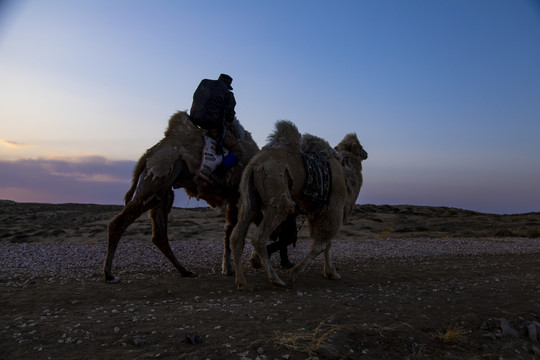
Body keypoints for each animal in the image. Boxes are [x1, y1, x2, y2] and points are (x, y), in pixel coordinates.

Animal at [103, 111, 294, 282]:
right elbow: (233, 229)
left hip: (163, 191)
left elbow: (230, 228)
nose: (288, 262)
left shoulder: (234, 198)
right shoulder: (238, 196)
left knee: (159, 234)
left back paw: (185, 271)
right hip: (156, 180)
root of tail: (148, 154)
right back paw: (109, 274)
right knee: (119, 223)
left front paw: (234, 265)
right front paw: (230, 268)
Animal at [231, 121, 368, 290]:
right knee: (260, 236)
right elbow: (321, 244)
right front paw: (293, 274)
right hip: (278, 194)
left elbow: (327, 244)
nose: (366, 153)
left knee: (237, 236)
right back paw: (276, 279)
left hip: (250, 201)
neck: (345, 172)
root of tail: (254, 165)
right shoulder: (333, 208)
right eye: (360, 146)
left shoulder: (318, 211)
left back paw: (242, 282)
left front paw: (331, 273)